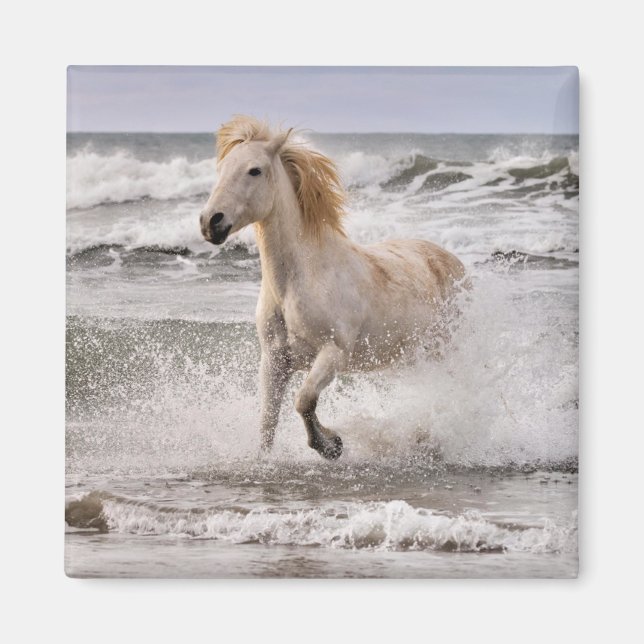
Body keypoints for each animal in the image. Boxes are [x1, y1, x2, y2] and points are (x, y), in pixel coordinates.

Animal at [199, 115, 467, 460]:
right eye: (221, 169)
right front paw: (268, 459)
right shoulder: (274, 361)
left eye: (254, 170)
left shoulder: (333, 354)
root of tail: (452, 262)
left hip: (446, 349)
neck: (298, 282)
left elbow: (304, 400)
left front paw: (331, 445)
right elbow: (268, 419)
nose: (210, 222)